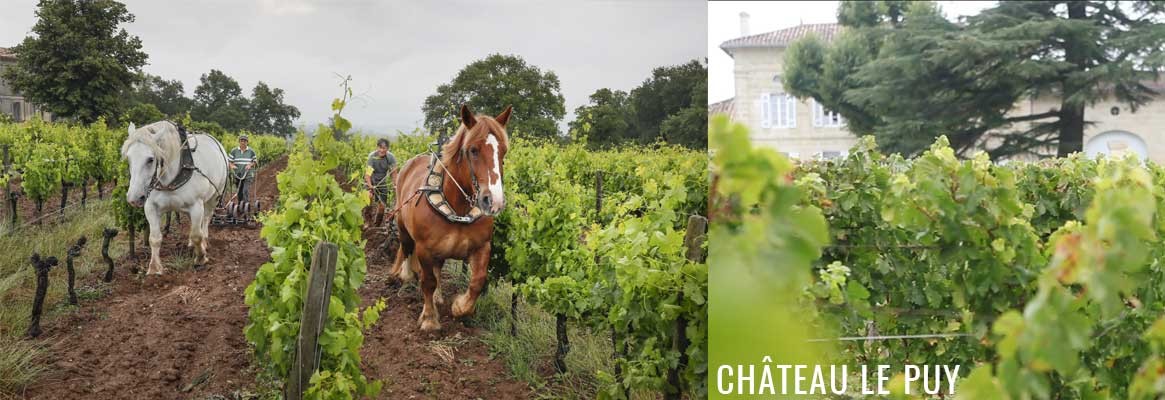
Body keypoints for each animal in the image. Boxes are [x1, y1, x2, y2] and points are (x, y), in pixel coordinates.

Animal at [121, 120, 228, 274]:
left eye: (150, 159)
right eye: (129, 158)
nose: (134, 198)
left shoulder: (196, 205)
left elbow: (197, 235)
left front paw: (201, 258)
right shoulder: (150, 206)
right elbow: (154, 238)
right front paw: (154, 268)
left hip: (214, 197)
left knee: (206, 219)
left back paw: (205, 242)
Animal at [391, 104, 510, 331]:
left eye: (503, 151)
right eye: (473, 150)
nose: (494, 201)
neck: (458, 210)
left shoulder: (482, 247)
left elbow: (478, 281)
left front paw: (460, 307)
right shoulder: (425, 249)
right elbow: (427, 282)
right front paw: (429, 319)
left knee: (438, 268)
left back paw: (438, 297)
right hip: (402, 225)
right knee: (406, 248)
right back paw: (406, 275)